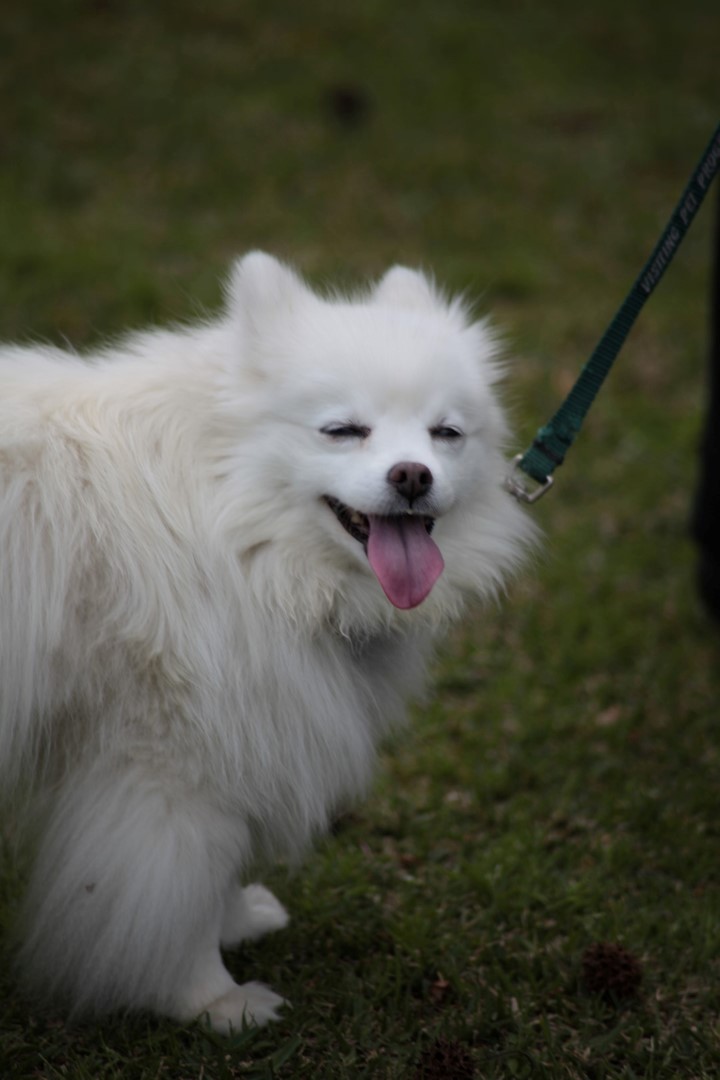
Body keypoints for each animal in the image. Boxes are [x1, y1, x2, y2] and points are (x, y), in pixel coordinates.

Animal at [0, 253, 534, 1031]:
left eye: (446, 433)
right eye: (342, 430)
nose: (412, 475)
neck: (228, 525)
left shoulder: (233, 741)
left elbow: (209, 872)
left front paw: (234, 921)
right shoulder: (167, 765)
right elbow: (173, 887)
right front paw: (210, 1000)